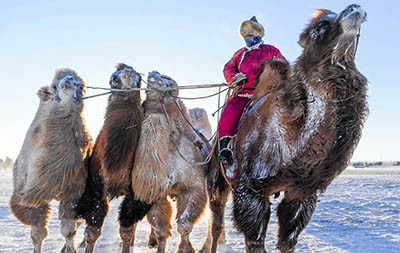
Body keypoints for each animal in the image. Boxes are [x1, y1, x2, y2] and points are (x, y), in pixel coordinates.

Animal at [10, 67, 93, 253]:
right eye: (54, 86)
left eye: (81, 86)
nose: (68, 80)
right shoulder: (30, 195)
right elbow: (37, 233)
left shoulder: (73, 193)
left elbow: (68, 230)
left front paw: (71, 249)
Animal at [130, 70, 208, 252]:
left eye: (168, 80)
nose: (153, 73)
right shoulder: (155, 193)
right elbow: (161, 229)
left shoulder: (194, 187)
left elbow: (184, 224)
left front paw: (187, 248)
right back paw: (151, 241)